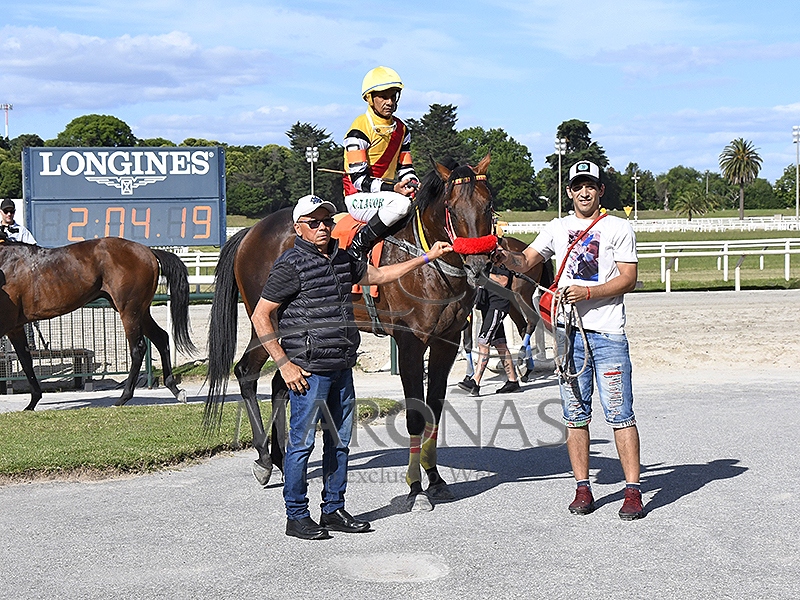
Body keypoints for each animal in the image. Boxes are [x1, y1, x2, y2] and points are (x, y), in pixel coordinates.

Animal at [0, 237, 195, 410]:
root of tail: (148, 251)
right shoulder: (15, 328)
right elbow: (26, 361)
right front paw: (32, 402)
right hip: (141, 311)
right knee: (161, 338)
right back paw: (175, 389)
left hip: (129, 310)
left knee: (138, 349)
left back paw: (123, 397)